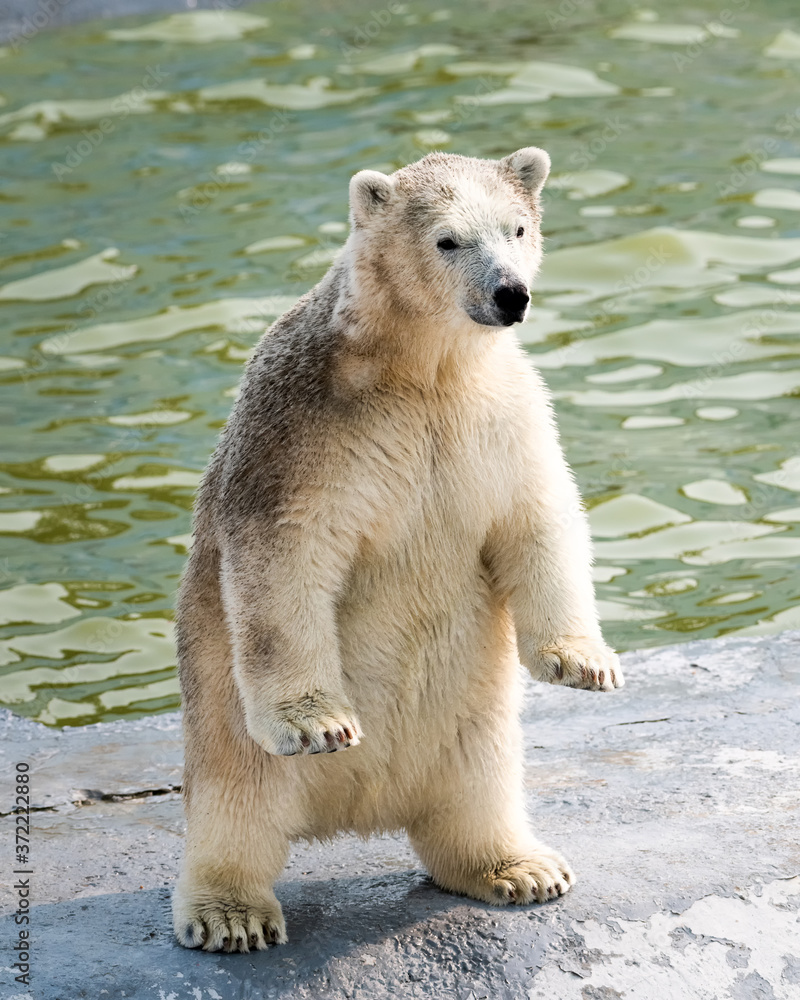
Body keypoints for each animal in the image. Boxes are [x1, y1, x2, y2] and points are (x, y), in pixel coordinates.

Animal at [172, 147, 624, 953]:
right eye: (447, 240)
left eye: (516, 227)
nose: (511, 295)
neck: (418, 370)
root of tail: (359, 813)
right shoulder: (303, 429)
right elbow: (282, 558)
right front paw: (321, 724)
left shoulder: (499, 414)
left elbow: (538, 518)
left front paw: (585, 663)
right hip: (222, 718)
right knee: (236, 806)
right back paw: (231, 913)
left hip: (470, 726)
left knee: (479, 791)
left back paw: (520, 868)